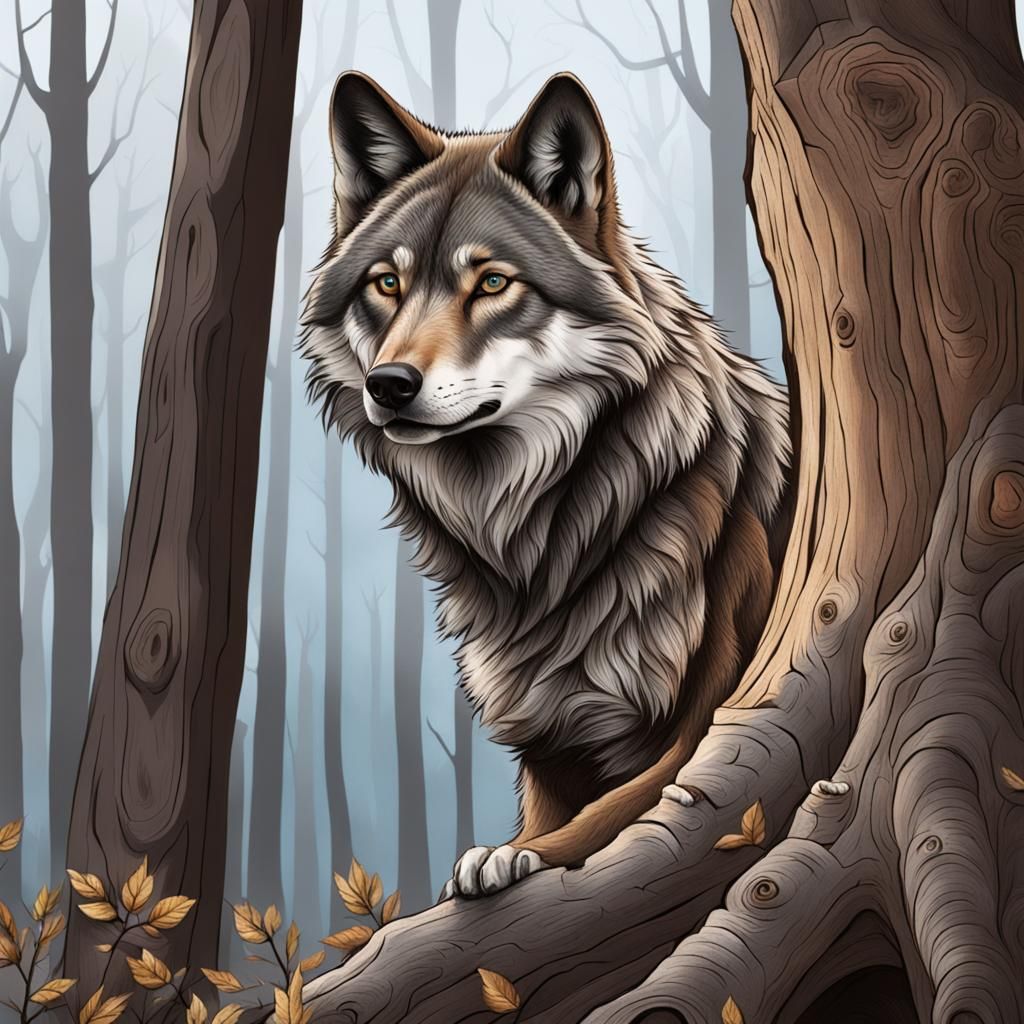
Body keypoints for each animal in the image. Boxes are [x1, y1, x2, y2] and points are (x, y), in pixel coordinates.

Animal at [302, 71, 790, 898]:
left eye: (493, 282)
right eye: (387, 283)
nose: (389, 385)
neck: (543, 542)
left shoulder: (707, 720)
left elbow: (611, 815)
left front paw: (508, 857)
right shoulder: (550, 746)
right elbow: (553, 812)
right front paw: (506, 849)